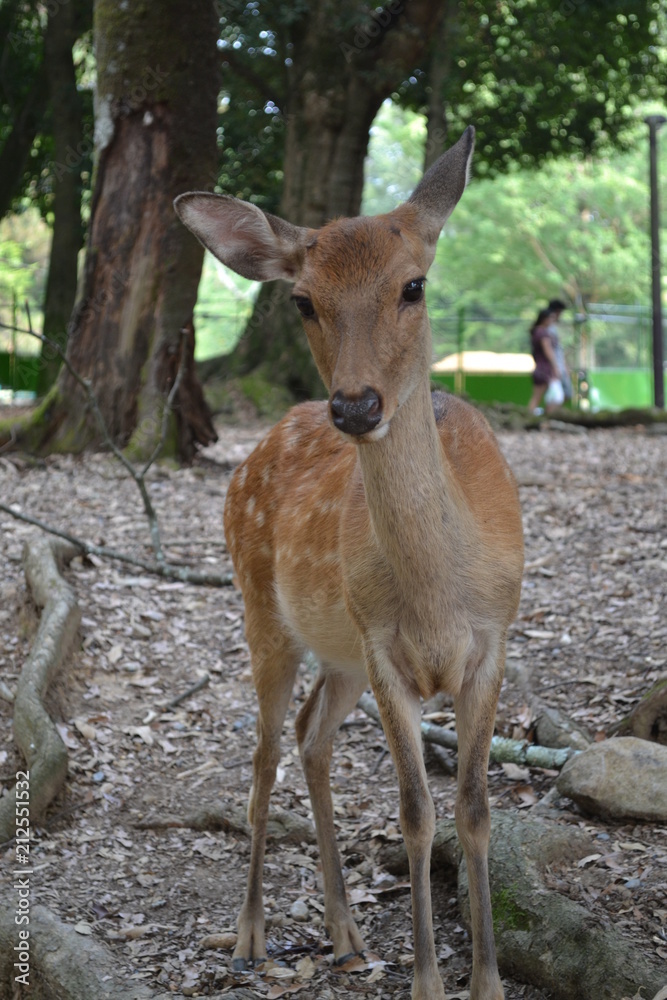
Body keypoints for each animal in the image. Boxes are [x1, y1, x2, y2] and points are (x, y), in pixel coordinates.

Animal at [174, 125, 524, 1000]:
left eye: (413, 285)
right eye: (302, 299)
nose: (356, 405)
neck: (436, 595)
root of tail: (252, 450)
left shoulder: (493, 640)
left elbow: (472, 808)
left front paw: (487, 981)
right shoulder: (384, 651)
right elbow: (414, 811)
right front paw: (429, 982)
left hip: (338, 655)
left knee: (310, 736)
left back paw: (346, 933)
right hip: (262, 611)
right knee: (265, 751)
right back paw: (250, 936)